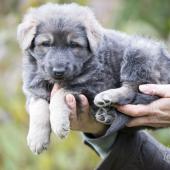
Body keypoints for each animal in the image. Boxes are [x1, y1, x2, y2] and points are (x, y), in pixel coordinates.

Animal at [17, 2, 170, 154]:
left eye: (74, 45)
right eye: (46, 44)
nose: (58, 71)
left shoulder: (94, 83)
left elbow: (60, 93)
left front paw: (59, 123)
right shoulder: (34, 89)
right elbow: (38, 106)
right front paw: (37, 138)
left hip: (139, 52)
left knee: (132, 88)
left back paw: (108, 97)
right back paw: (108, 114)